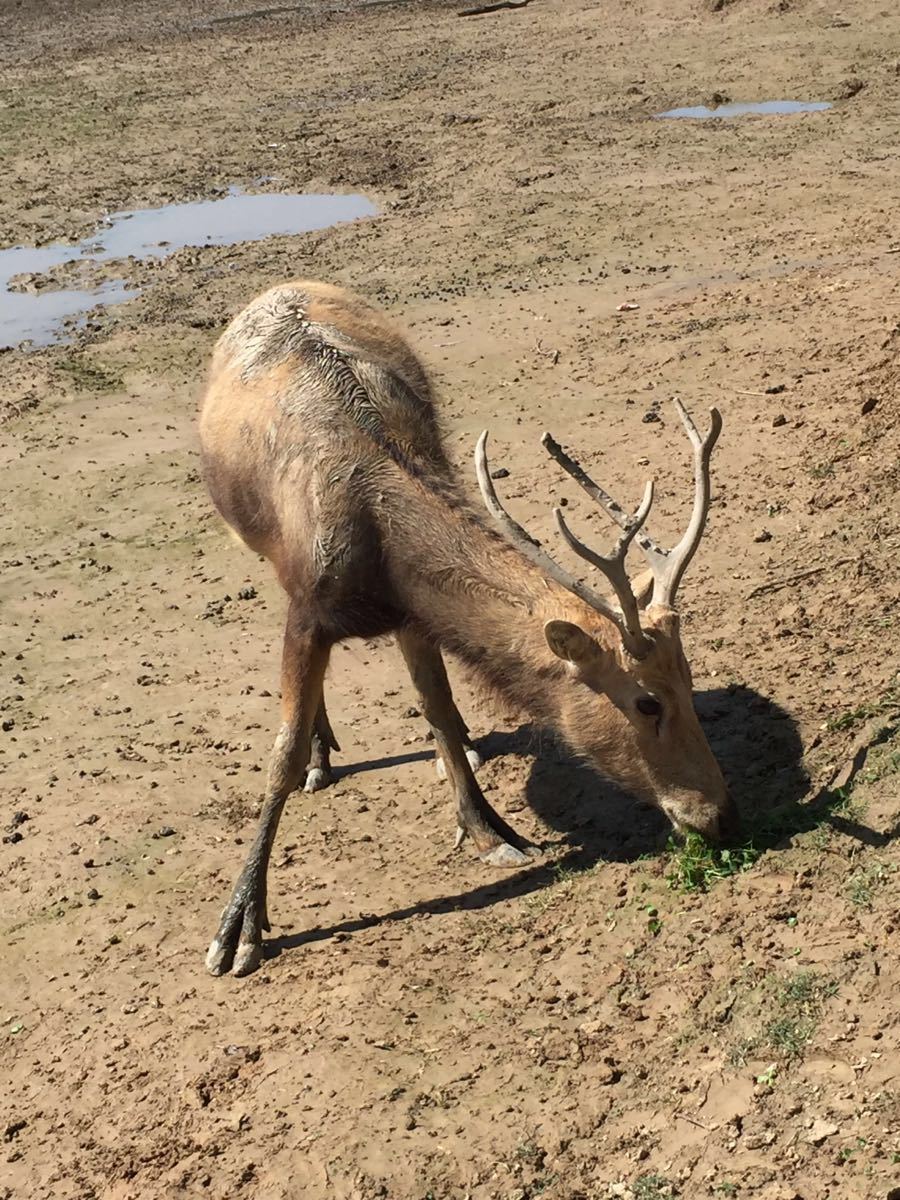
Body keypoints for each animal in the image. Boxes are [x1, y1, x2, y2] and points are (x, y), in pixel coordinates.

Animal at [199, 278, 739, 974]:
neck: (376, 547)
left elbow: (437, 705)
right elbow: (281, 753)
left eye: (692, 680)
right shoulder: (308, 608)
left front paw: (489, 828)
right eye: (647, 702)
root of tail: (280, 286)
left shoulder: (412, 612)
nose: (720, 815)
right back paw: (324, 757)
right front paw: (239, 929)